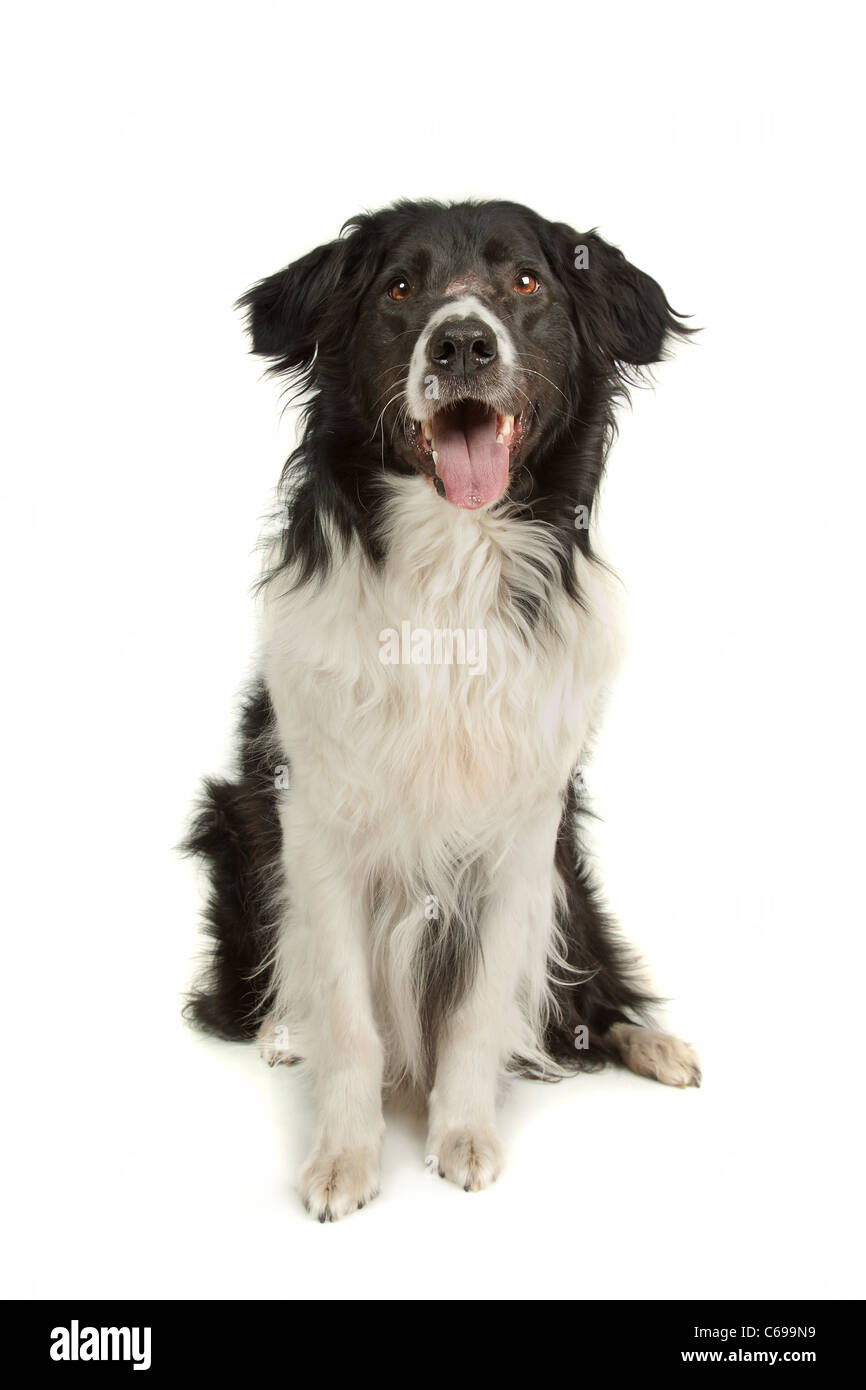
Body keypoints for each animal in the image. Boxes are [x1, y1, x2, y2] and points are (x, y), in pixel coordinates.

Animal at [186, 193, 700, 1217]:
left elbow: (479, 1007)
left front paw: (462, 1136)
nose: (462, 343)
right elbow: (348, 1011)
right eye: (398, 288)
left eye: (527, 281)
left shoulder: (527, 831)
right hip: (237, 819)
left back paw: (651, 1042)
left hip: (572, 873)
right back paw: (280, 1030)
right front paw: (343, 1160)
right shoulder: (317, 819)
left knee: (590, 989)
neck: (451, 571)